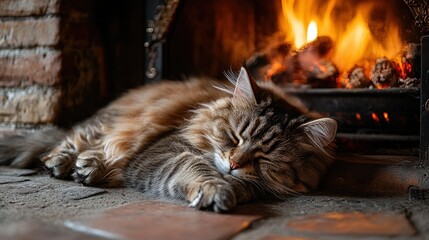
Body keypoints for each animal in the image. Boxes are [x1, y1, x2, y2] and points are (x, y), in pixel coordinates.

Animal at [0, 67, 336, 212]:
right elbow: (195, 170)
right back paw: (71, 163)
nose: (233, 163)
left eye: (265, 157)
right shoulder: (167, 150)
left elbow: (248, 186)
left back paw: (90, 167)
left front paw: (233, 186)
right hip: (115, 123)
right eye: (234, 137)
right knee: (77, 139)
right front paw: (215, 189)